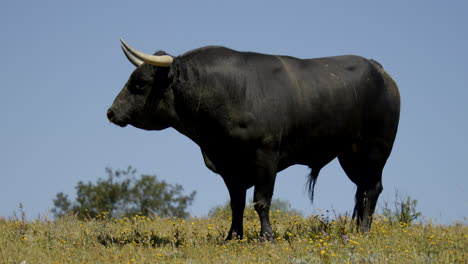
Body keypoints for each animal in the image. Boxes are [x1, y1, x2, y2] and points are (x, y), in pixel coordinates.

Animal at [108, 39, 400, 241]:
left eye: (140, 83)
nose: (111, 112)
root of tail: (378, 68)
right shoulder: (228, 165)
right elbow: (236, 203)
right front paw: (233, 236)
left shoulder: (266, 156)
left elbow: (261, 200)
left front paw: (266, 236)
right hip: (350, 155)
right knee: (362, 191)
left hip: (376, 149)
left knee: (372, 190)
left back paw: (364, 232)